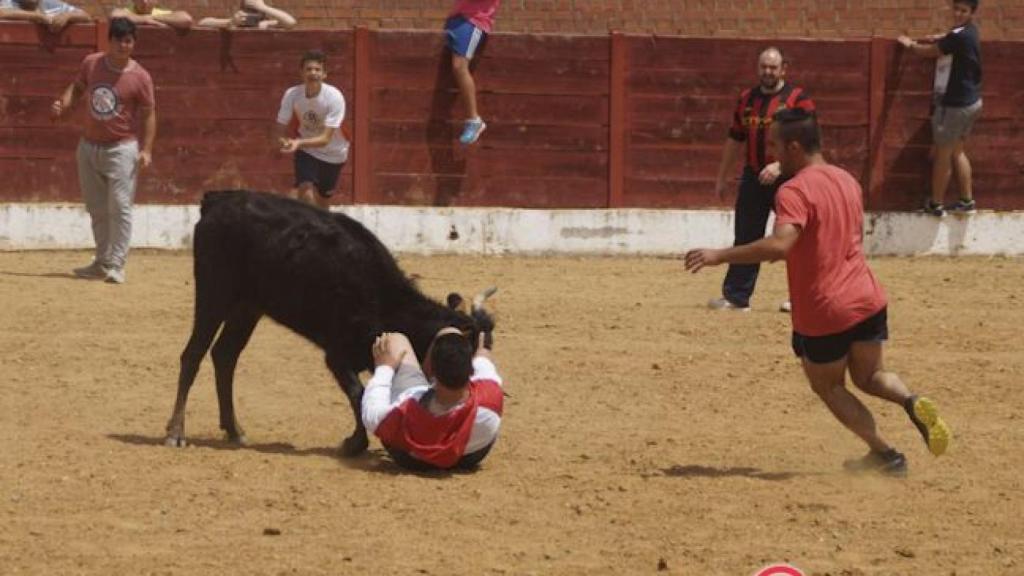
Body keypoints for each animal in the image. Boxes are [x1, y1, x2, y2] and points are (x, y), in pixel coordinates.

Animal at [167, 190, 495, 455]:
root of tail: (217, 200)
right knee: (193, 354)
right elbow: (358, 394)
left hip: (248, 306)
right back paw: (176, 432)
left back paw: (235, 430)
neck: (385, 303)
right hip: (215, 292)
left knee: (225, 355)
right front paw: (354, 443)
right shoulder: (337, 355)